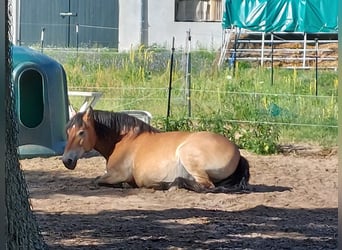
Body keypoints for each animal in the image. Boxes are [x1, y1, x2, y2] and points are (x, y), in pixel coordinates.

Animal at [61, 107, 250, 193]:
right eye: (67, 131)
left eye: (81, 132)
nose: (66, 160)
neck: (123, 139)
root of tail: (238, 153)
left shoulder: (117, 174)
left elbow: (96, 180)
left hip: (187, 155)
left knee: (206, 186)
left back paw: (169, 184)